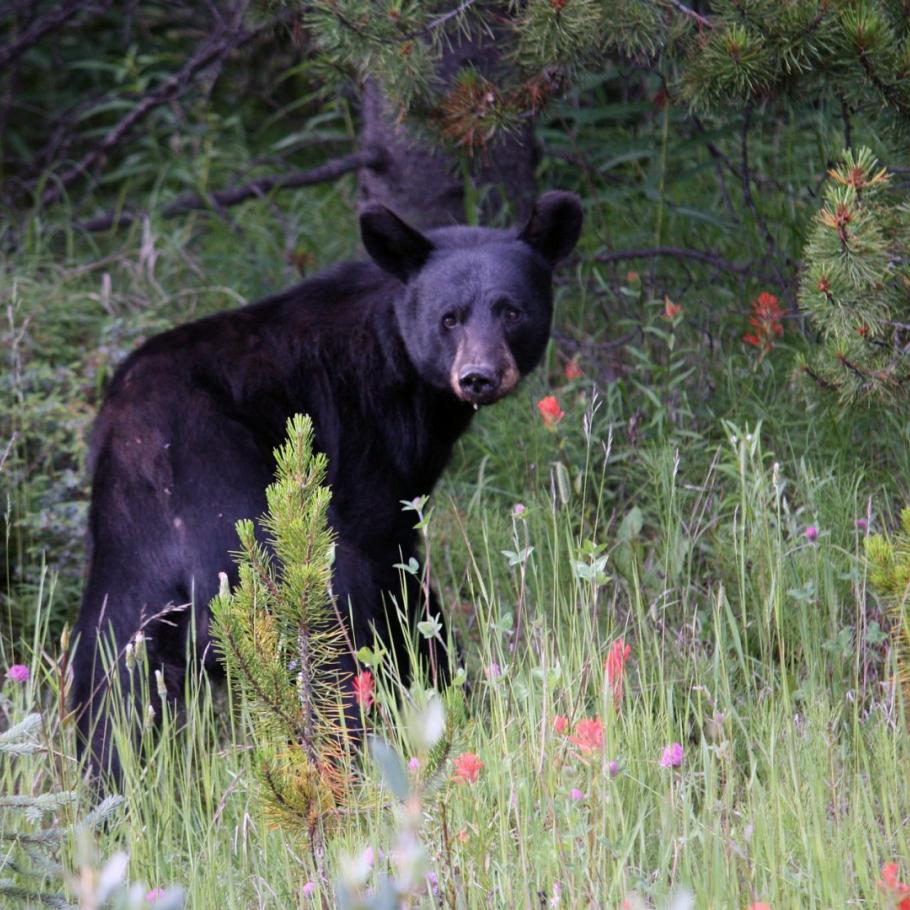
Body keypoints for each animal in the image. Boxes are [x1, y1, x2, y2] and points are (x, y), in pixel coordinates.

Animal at [73, 191, 584, 776]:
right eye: (449, 318)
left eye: (512, 311)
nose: (478, 375)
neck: (397, 364)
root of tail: (151, 454)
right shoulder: (366, 449)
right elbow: (397, 575)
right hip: (247, 514)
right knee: (336, 625)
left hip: (128, 555)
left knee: (110, 679)